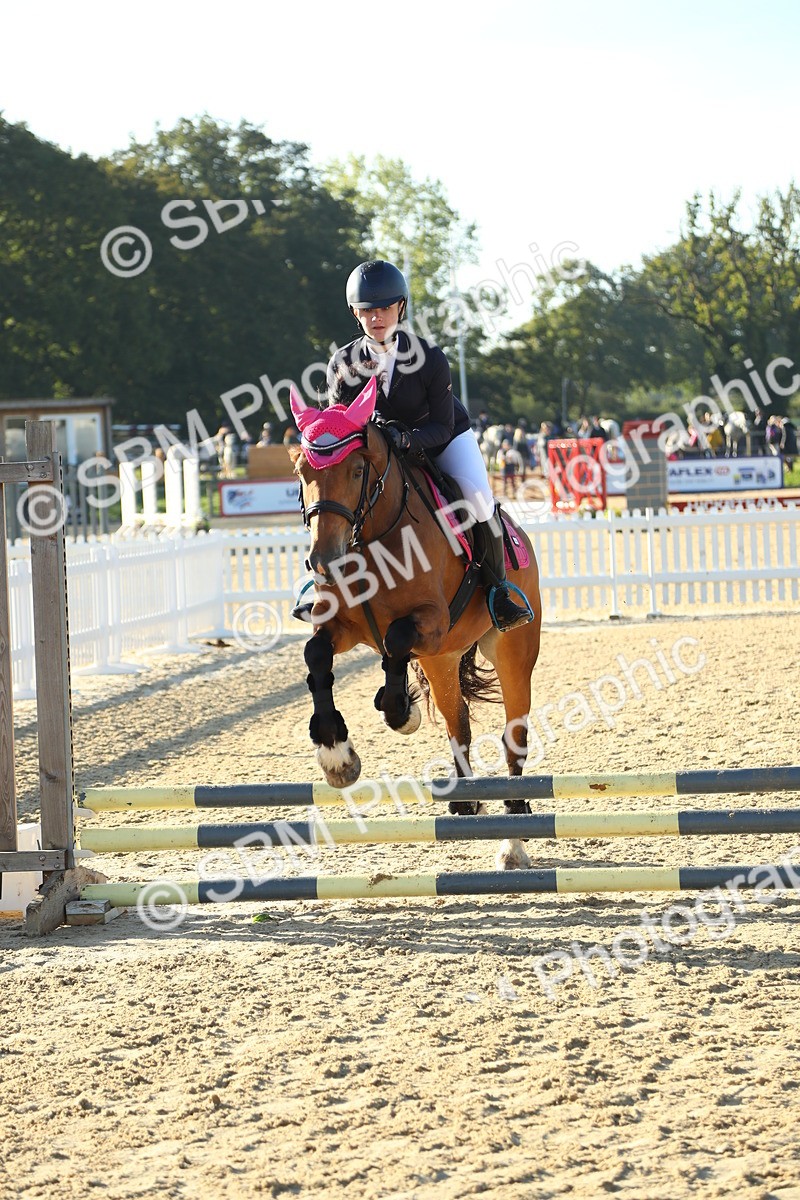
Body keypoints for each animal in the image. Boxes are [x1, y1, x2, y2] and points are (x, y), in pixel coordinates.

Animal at [287, 378, 543, 870]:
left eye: (356, 470)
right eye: (301, 474)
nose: (323, 561)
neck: (371, 540)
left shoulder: (432, 621)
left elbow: (396, 639)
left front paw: (399, 711)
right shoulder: (341, 626)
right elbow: (317, 655)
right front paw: (336, 756)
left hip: (511, 652)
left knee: (513, 738)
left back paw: (513, 840)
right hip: (442, 661)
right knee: (459, 725)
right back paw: (467, 800)